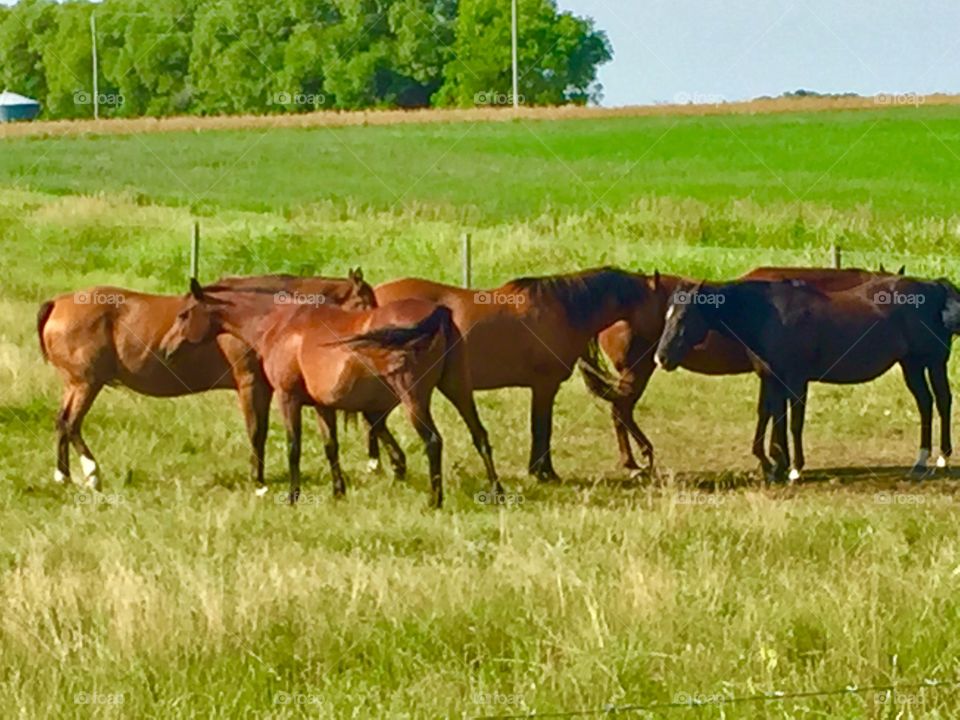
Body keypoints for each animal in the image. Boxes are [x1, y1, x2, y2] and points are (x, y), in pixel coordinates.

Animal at [37, 270, 375, 491]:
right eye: (364, 303)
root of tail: (57, 302)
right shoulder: (251, 384)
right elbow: (256, 432)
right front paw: (258, 481)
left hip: (74, 384)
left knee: (61, 422)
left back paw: (63, 475)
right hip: (86, 384)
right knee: (71, 423)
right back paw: (92, 473)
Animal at [158, 279, 501, 508]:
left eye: (184, 314)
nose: (166, 349)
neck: (281, 325)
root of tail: (439, 312)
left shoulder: (288, 397)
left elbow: (293, 447)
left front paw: (293, 496)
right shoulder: (323, 406)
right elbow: (330, 447)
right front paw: (338, 492)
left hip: (413, 397)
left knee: (433, 441)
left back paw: (435, 500)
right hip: (458, 389)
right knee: (480, 435)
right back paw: (496, 493)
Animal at [579, 267, 902, 473]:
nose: (663, 355)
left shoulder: (771, 376)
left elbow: (769, 413)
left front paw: (772, 459)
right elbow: (774, 414)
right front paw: (775, 461)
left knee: (620, 411)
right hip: (638, 370)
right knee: (621, 410)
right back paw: (638, 459)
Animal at [653, 275, 960, 480]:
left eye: (683, 317)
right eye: (667, 315)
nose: (661, 358)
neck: (768, 316)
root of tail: (933, 287)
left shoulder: (796, 380)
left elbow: (794, 422)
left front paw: (795, 469)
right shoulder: (772, 379)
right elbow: (775, 418)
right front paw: (777, 466)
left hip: (933, 363)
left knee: (943, 401)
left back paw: (942, 458)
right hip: (912, 365)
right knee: (925, 403)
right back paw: (920, 461)